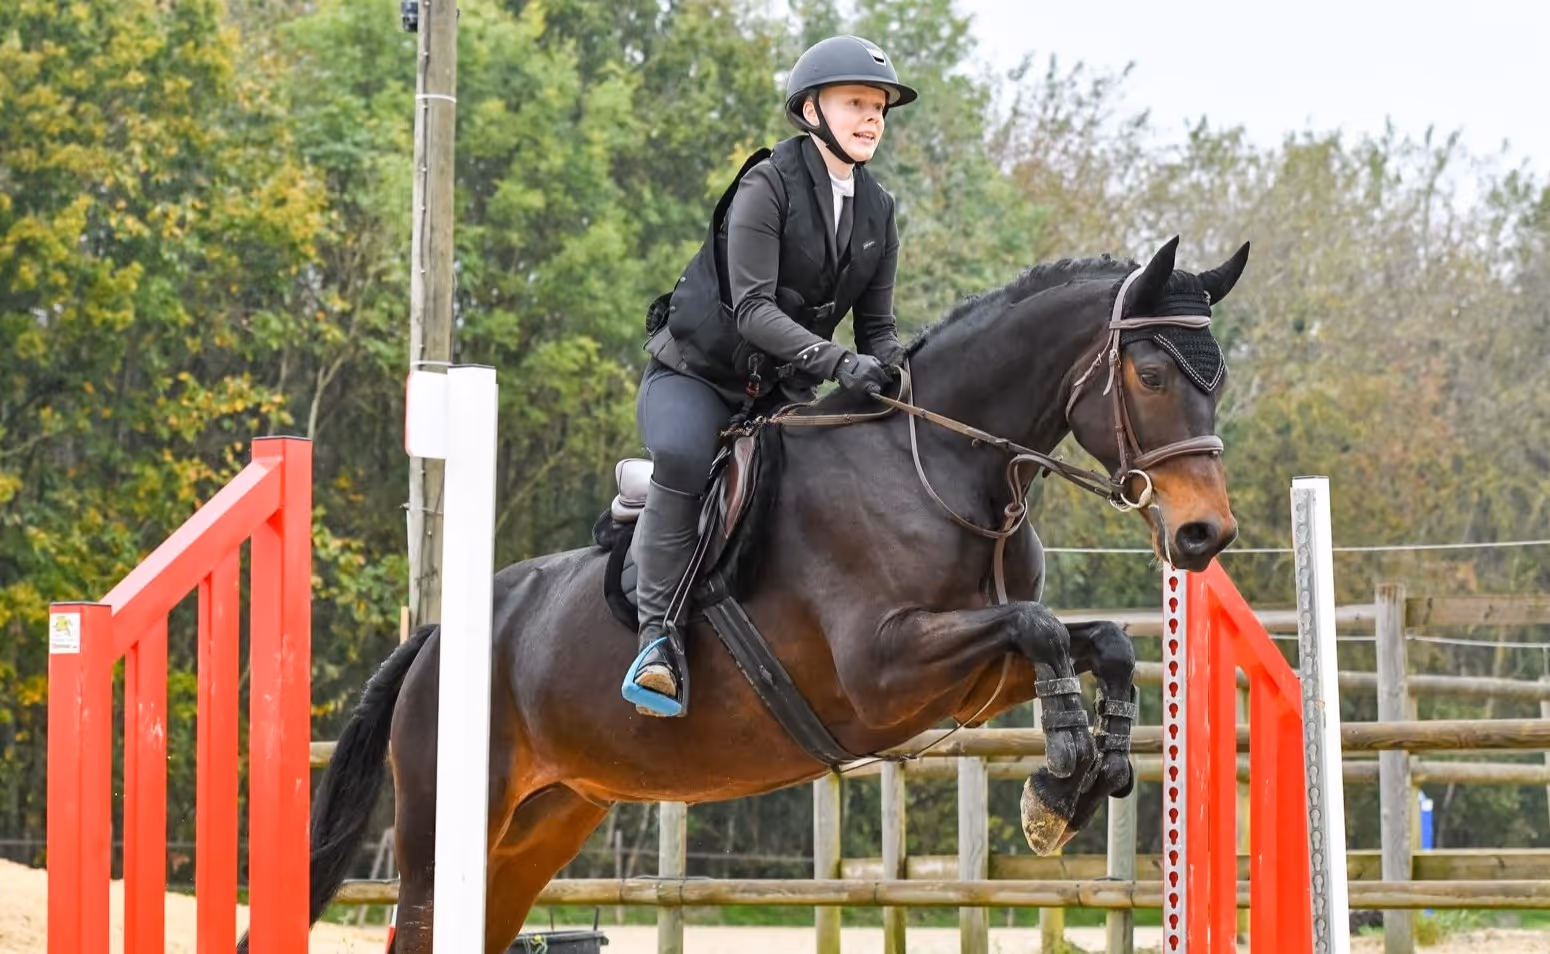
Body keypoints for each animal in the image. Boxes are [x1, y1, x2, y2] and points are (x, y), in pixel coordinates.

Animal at [293, 236, 1248, 953]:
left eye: (1219, 379)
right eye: (1153, 375)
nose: (1205, 535)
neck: (942, 468)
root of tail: (432, 636)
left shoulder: (971, 679)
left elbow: (1097, 639)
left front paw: (1088, 775)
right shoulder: (884, 672)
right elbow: (1042, 627)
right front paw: (1060, 779)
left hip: (543, 826)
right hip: (441, 832)